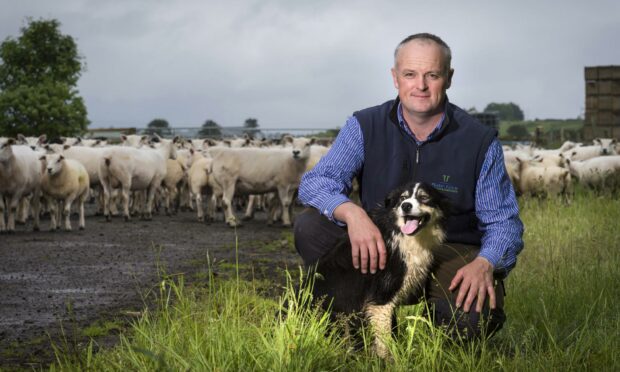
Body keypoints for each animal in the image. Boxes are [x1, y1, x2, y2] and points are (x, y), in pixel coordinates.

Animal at [308, 182, 446, 358]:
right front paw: (389, 360)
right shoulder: (381, 298)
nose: (406, 205)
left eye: (424, 197)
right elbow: (384, 339)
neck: (400, 233)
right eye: (402, 198)